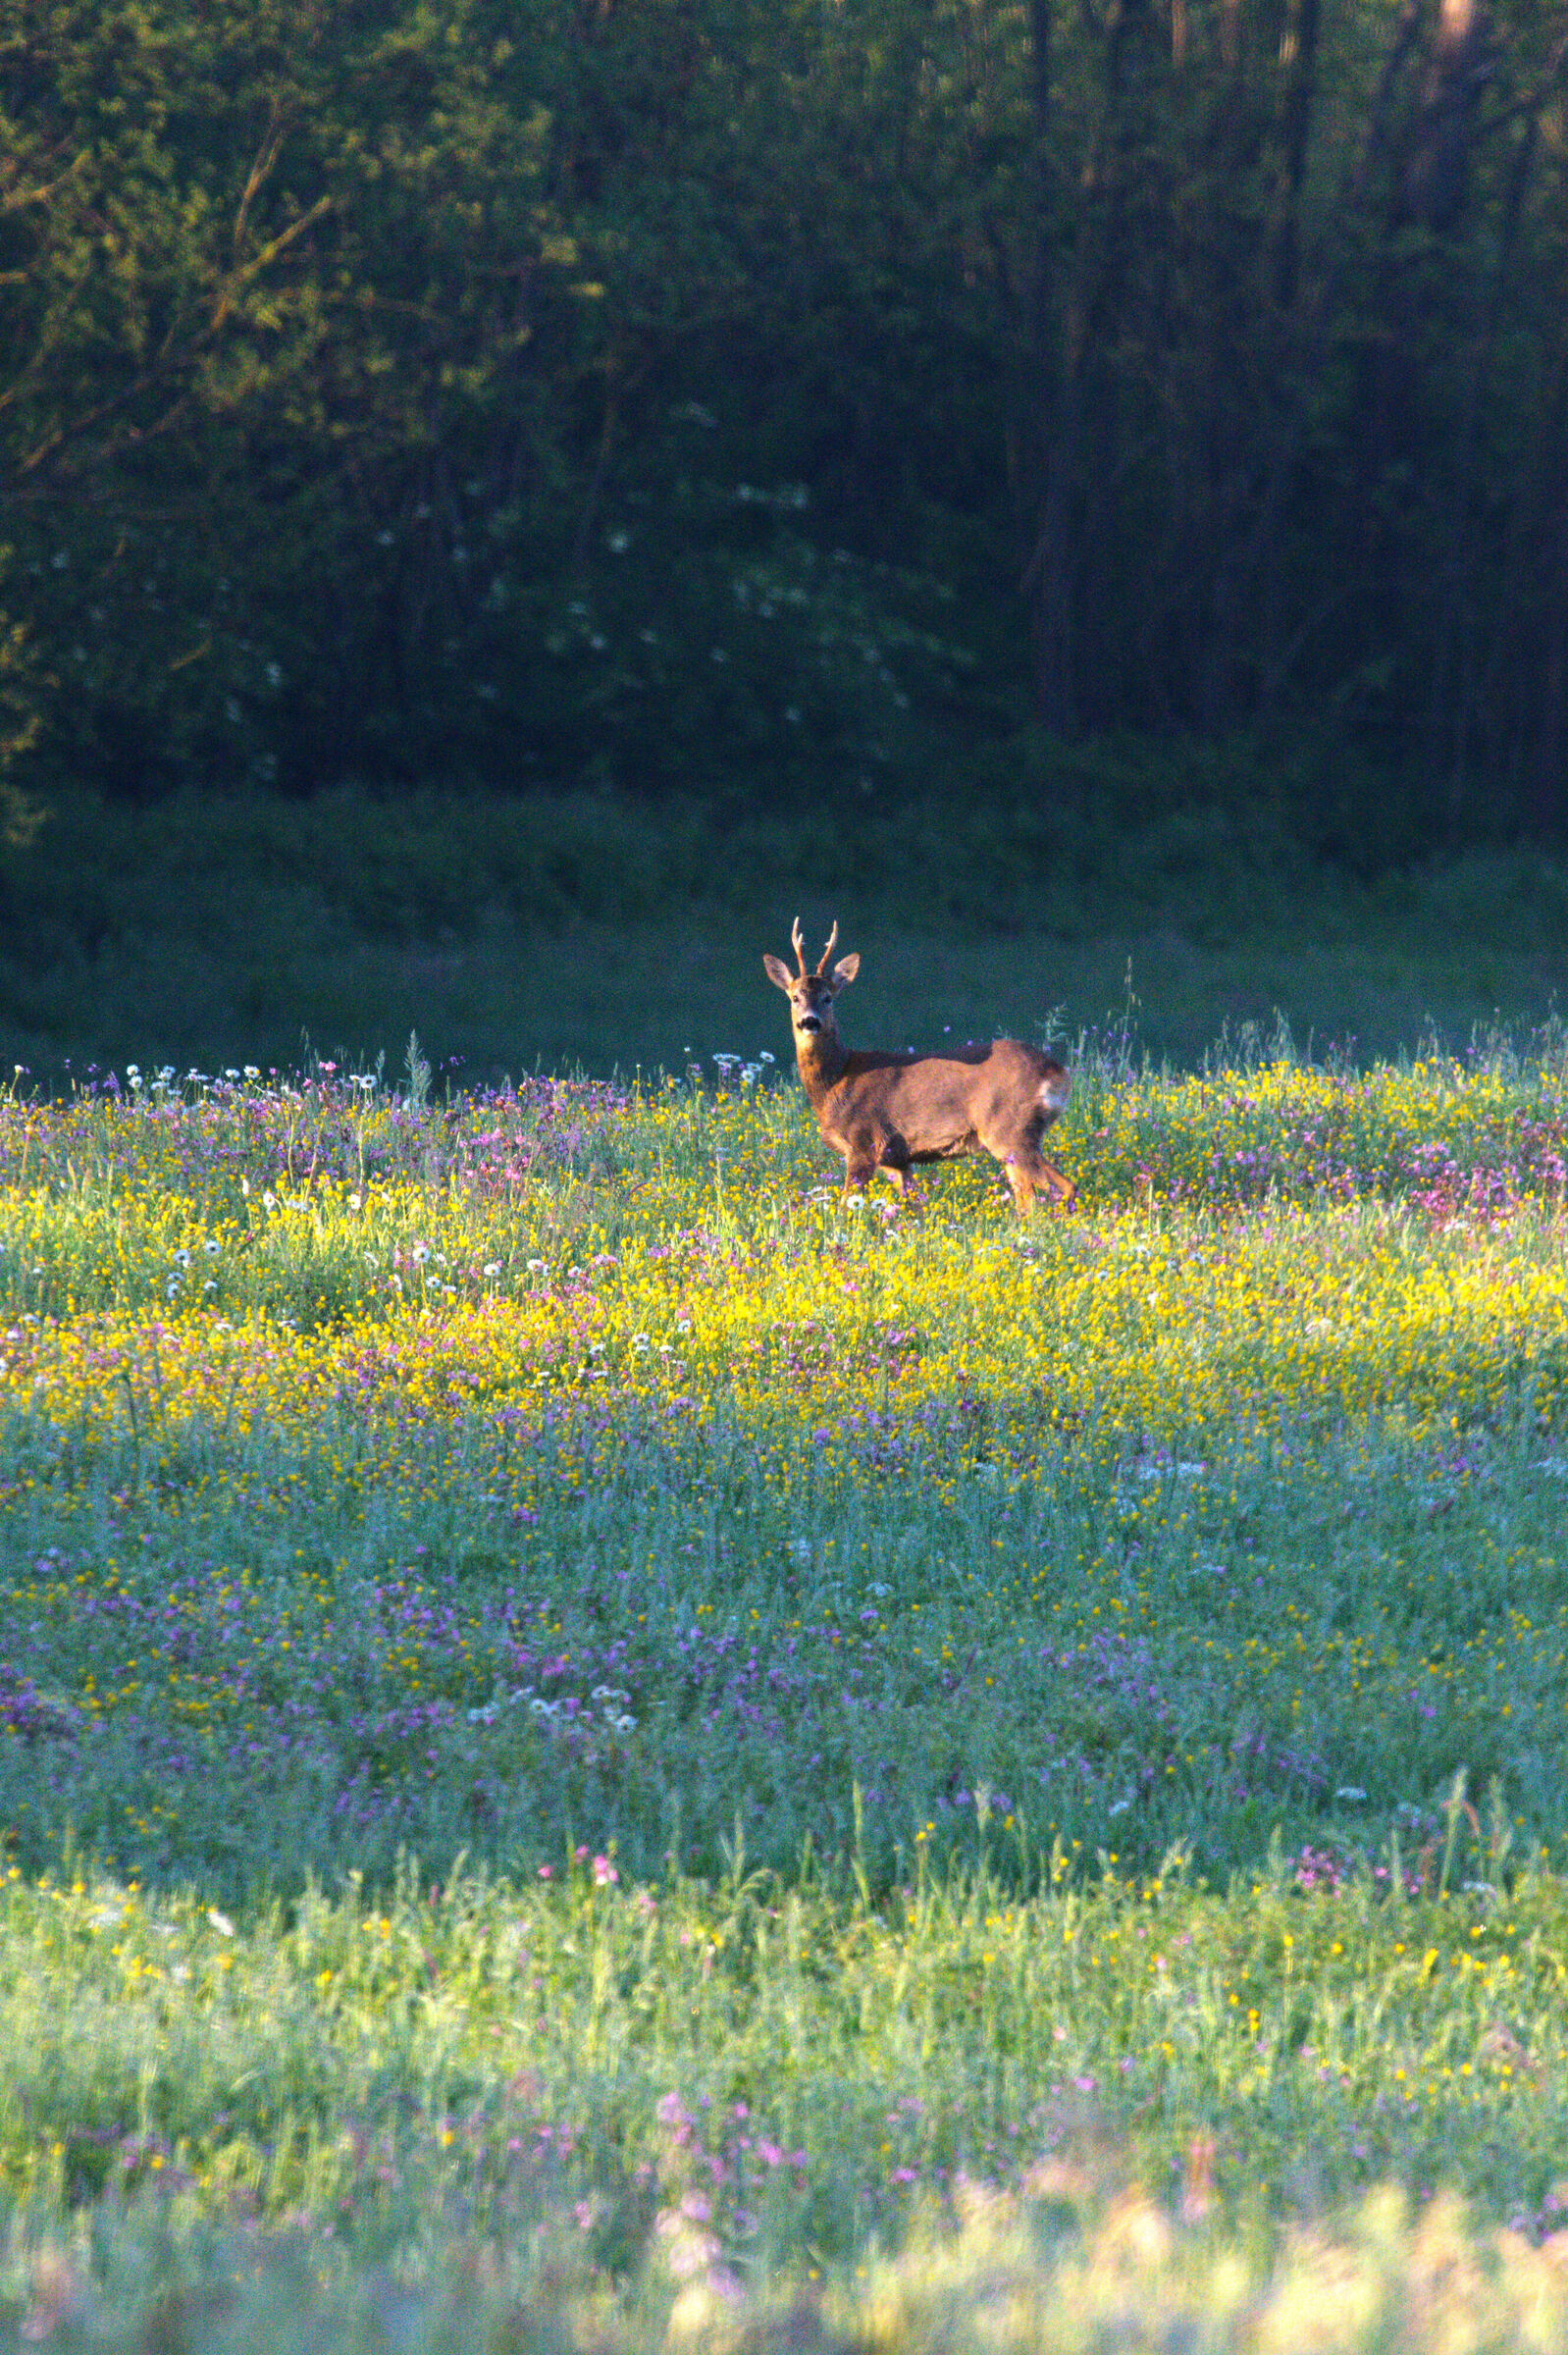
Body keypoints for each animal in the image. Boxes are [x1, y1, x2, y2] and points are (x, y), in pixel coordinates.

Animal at [764, 919, 1076, 1215]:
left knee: (1061, 1187)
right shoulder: (898, 1159)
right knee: (1029, 1198)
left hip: (1009, 1129)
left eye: (828, 997)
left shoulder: (864, 1142)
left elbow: (845, 1207)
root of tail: (1058, 1072)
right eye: (795, 997)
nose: (809, 1021)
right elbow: (913, 1207)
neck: (837, 1079)